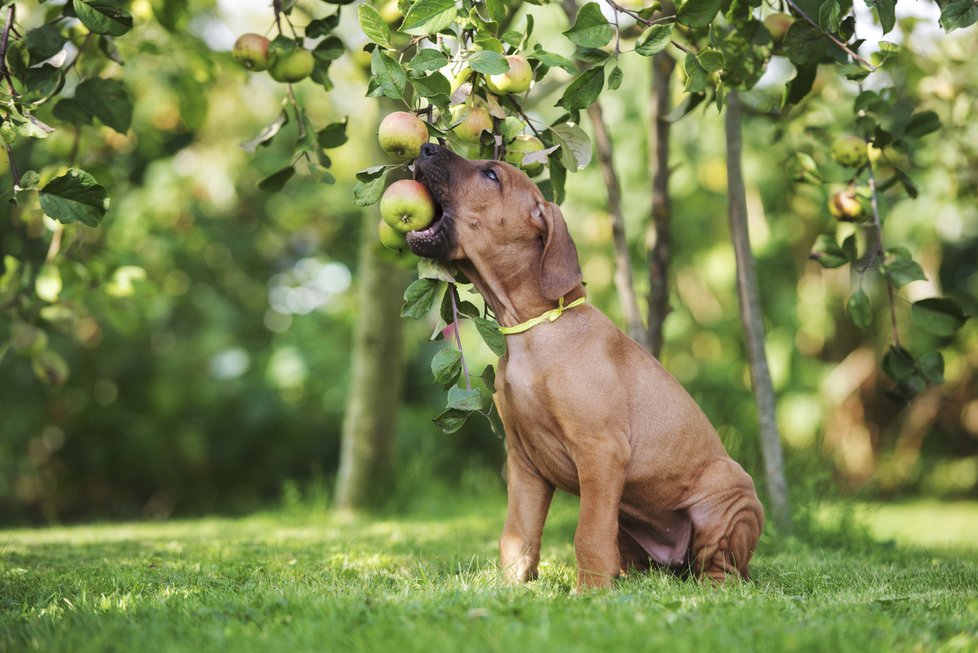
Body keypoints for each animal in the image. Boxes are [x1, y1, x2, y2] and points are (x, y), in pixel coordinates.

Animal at [404, 144, 764, 592]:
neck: (534, 330)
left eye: (491, 175)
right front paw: (511, 587)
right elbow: (518, 534)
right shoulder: (523, 462)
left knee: (722, 567)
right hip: (631, 520)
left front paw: (589, 592)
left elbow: (588, 533)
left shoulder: (601, 452)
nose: (426, 147)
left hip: (729, 497)